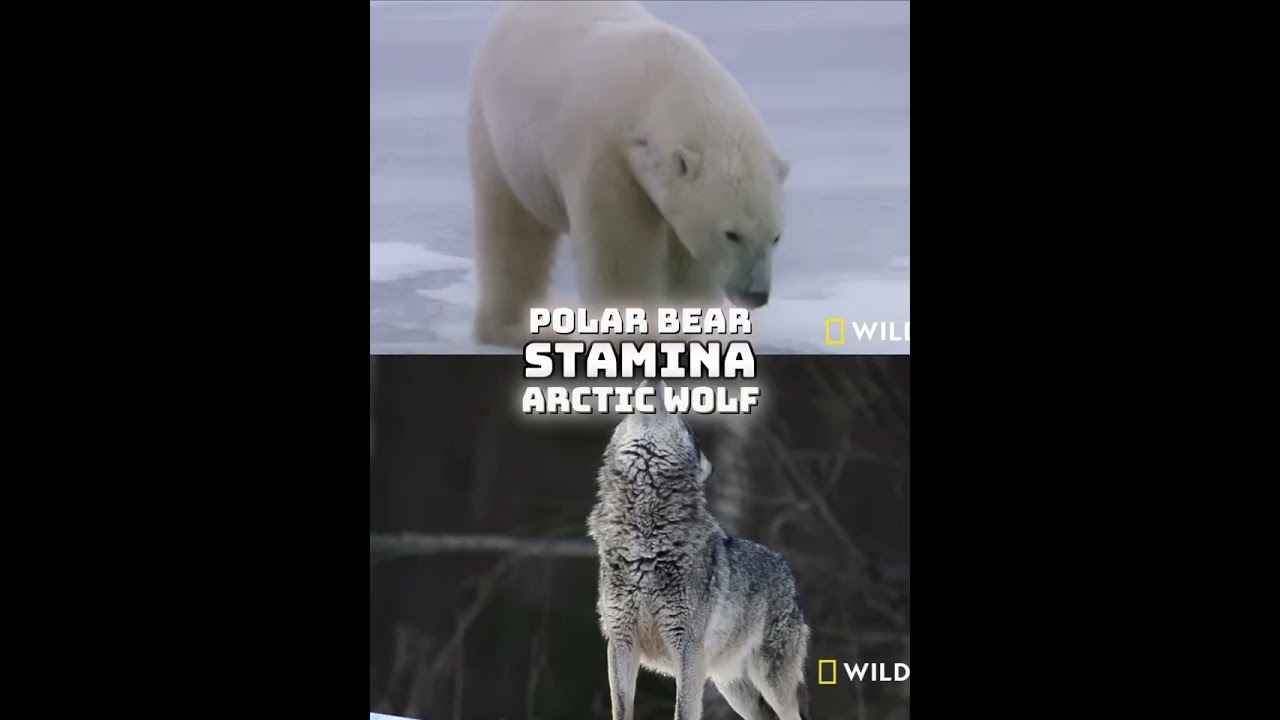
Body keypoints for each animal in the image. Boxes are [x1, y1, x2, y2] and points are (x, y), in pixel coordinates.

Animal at [465, 0, 790, 347]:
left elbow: (687, 259)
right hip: (501, 139)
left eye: (776, 237)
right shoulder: (606, 156)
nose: (756, 294)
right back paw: (513, 328)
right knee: (512, 226)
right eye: (732, 234)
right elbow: (619, 250)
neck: (664, 82)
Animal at [586, 382, 812, 720]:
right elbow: (621, 709)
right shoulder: (620, 643)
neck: (645, 538)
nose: (655, 379)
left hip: (771, 683)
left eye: (680, 414)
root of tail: (786, 571)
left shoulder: (688, 649)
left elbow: (683, 710)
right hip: (733, 687)